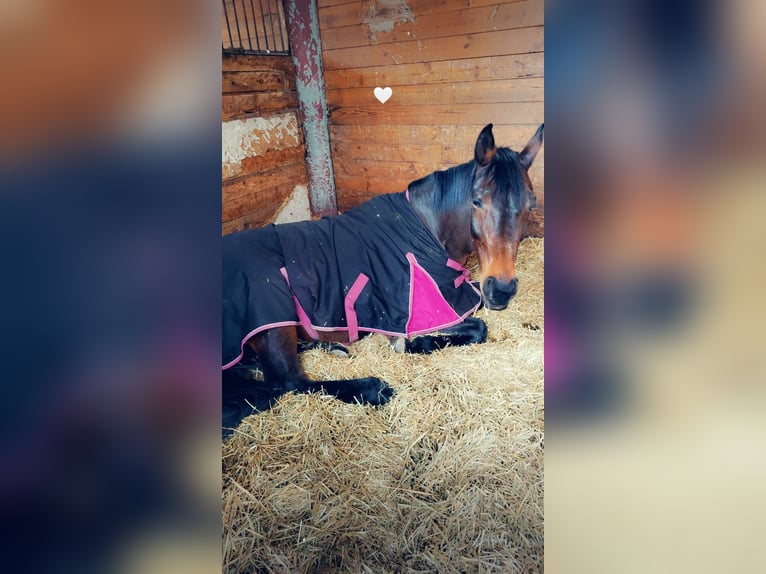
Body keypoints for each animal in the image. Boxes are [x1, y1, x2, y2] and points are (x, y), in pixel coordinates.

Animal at [222, 123, 543, 433]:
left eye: (531, 204)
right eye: (476, 201)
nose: (501, 289)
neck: (424, 229)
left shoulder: (459, 291)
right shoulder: (427, 310)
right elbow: (478, 328)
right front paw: (412, 345)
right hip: (274, 326)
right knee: (288, 381)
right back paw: (371, 388)